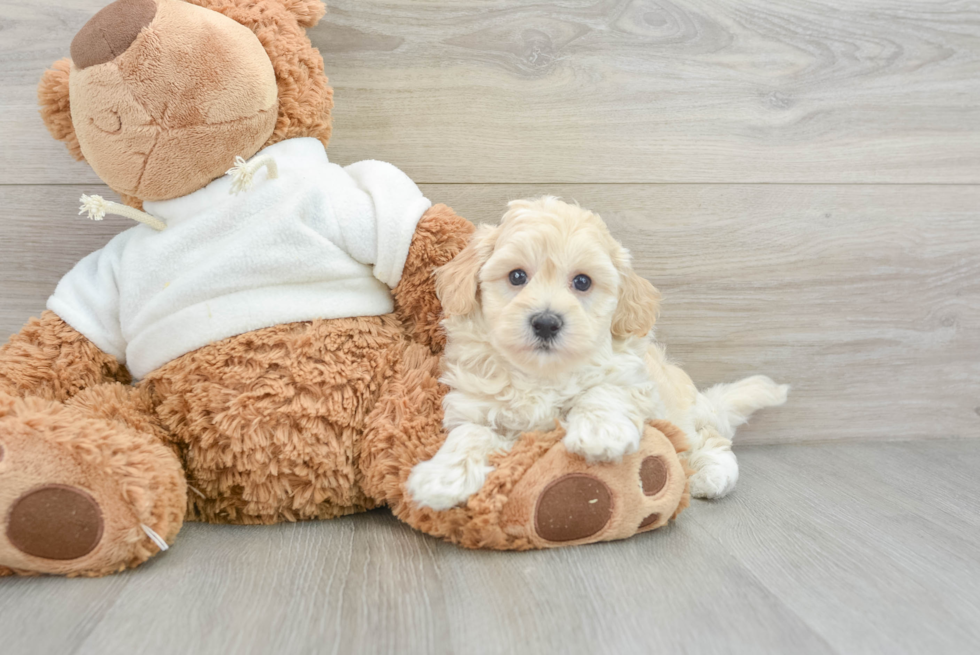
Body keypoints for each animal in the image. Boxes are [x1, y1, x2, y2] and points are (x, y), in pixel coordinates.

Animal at [406, 197, 788, 516]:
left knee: (708, 438)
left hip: (681, 414)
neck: (541, 374)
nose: (546, 322)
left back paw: (712, 474)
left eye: (582, 282)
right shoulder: (474, 406)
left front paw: (600, 432)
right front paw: (441, 477)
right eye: (516, 276)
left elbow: (604, 389)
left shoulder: (634, 379)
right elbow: (468, 435)